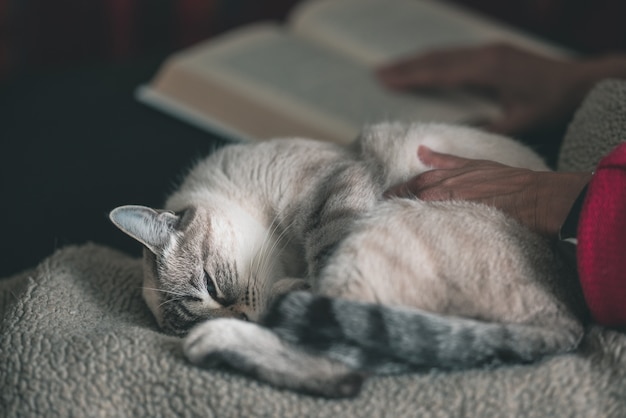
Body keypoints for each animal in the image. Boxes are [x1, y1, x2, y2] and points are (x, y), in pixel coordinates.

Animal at [109, 121, 584, 398]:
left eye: (211, 285)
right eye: (204, 300)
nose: (245, 317)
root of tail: (568, 317)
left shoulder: (336, 190)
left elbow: (321, 255)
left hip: (379, 231)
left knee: (343, 366)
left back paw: (215, 342)